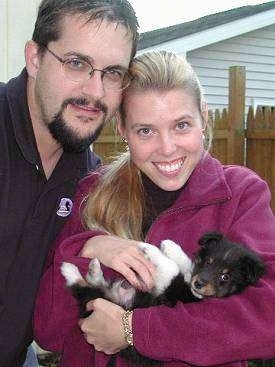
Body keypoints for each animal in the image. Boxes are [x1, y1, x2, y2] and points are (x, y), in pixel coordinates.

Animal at [61, 233, 266, 367]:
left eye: (225, 277)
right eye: (208, 262)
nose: (199, 283)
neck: (195, 293)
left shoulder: (174, 293)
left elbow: (172, 268)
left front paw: (151, 249)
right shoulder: (187, 280)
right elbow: (184, 265)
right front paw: (170, 246)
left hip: (102, 300)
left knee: (85, 290)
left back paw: (71, 269)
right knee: (91, 286)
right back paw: (89, 268)